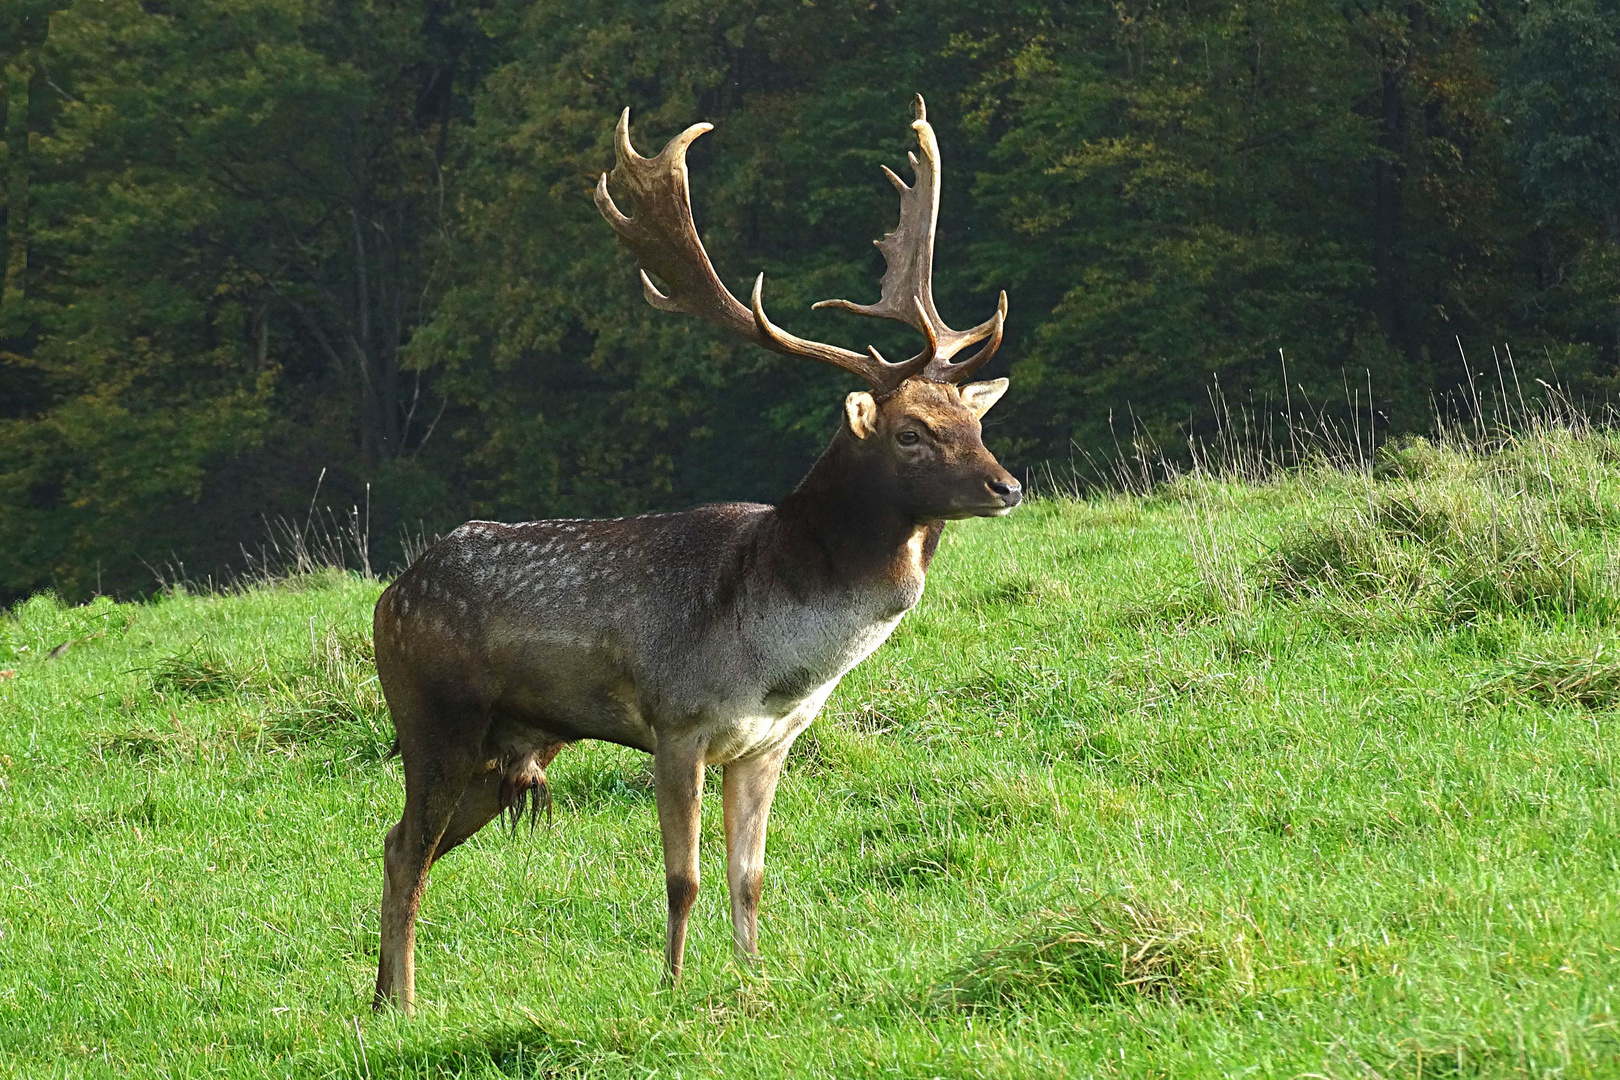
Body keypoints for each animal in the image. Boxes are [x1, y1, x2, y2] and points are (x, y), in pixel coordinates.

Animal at [372, 93, 1017, 1016]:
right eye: (912, 432)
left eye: (975, 419)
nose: (1007, 485)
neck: (779, 652)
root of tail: (389, 595)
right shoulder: (676, 724)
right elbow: (684, 878)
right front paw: (673, 989)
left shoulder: (767, 744)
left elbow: (750, 877)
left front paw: (755, 980)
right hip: (433, 716)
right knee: (407, 848)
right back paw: (401, 1005)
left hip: (510, 748)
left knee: (400, 843)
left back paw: (383, 999)